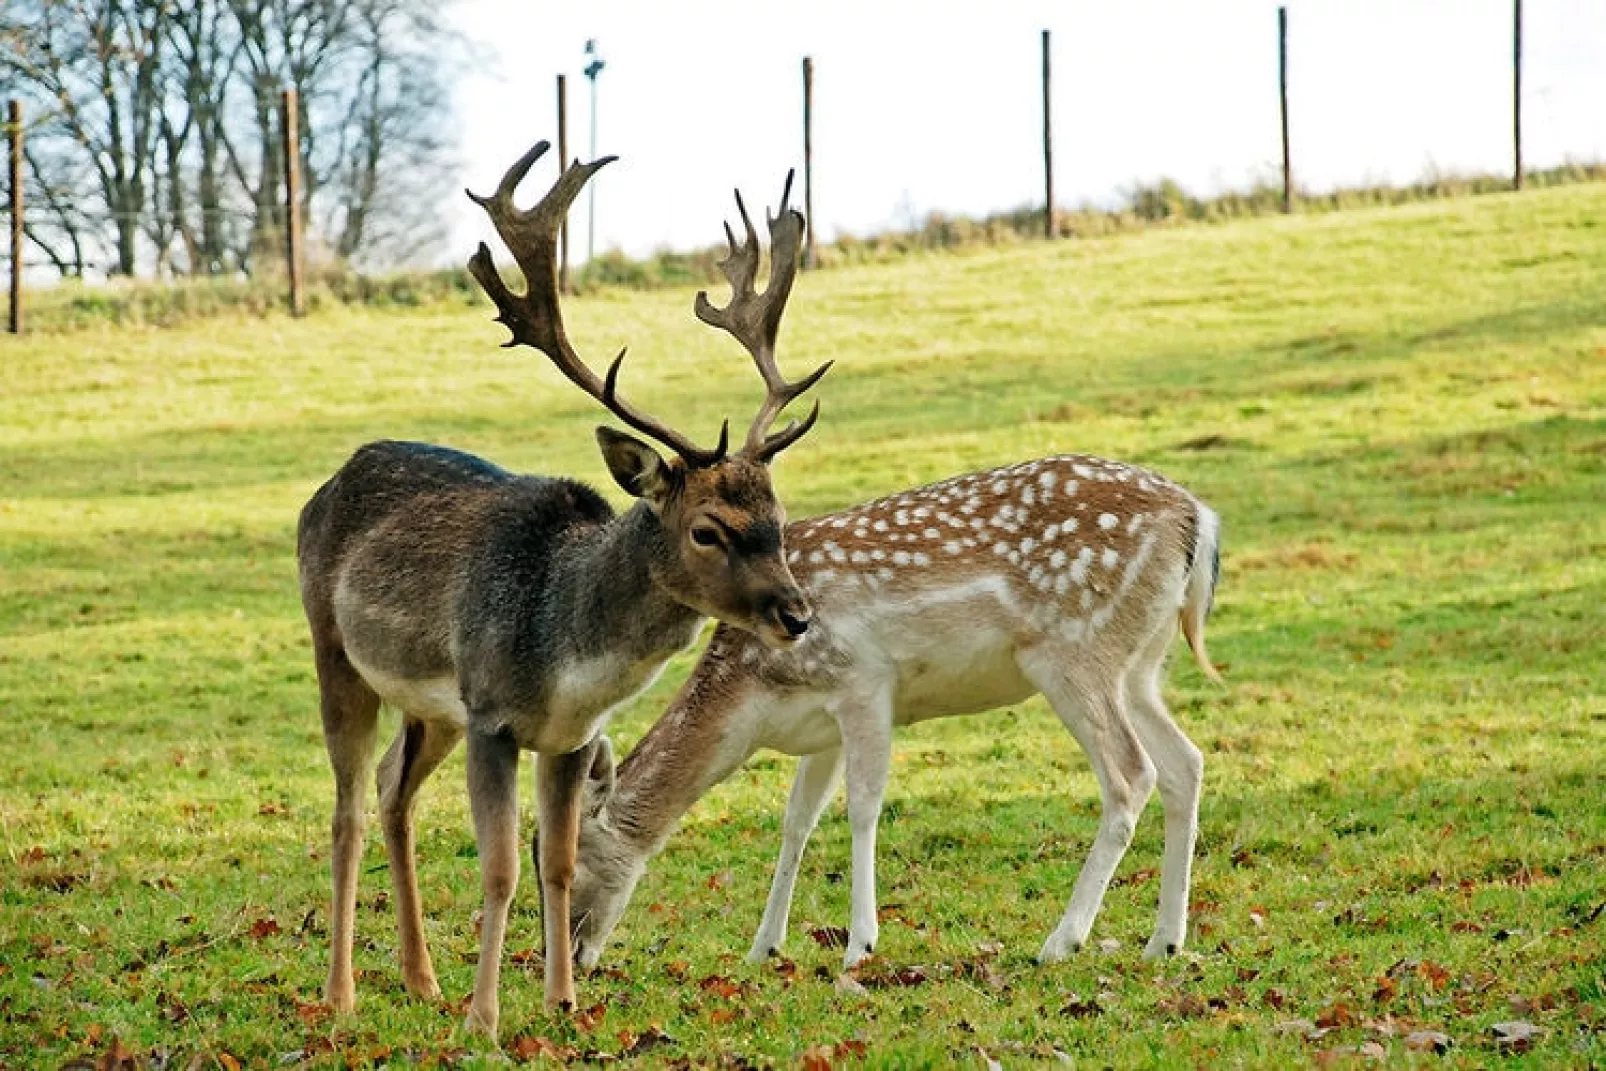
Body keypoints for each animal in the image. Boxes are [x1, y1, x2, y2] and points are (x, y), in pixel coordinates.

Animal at [292, 144, 828, 1040]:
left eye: (778, 519)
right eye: (707, 529)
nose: (797, 613)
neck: (567, 651)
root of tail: (325, 484)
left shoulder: (570, 736)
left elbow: (560, 862)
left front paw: (563, 1001)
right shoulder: (492, 714)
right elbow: (502, 867)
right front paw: (484, 1019)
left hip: (432, 707)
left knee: (394, 789)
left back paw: (420, 978)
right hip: (336, 651)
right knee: (348, 809)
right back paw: (341, 994)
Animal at [562, 456, 1214, 976]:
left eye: (573, 863)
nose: (569, 953)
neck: (756, 692)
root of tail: (1199, 518)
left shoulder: (865, 685)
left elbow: (862, 808)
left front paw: (860, 946)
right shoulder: (821, 728)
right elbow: (796, 821)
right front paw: (762, 947)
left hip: (1074, 652)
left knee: (1131, 773)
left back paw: (1061, 942)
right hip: (1141, 664)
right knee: (1185, 763)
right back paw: (1164, 942)